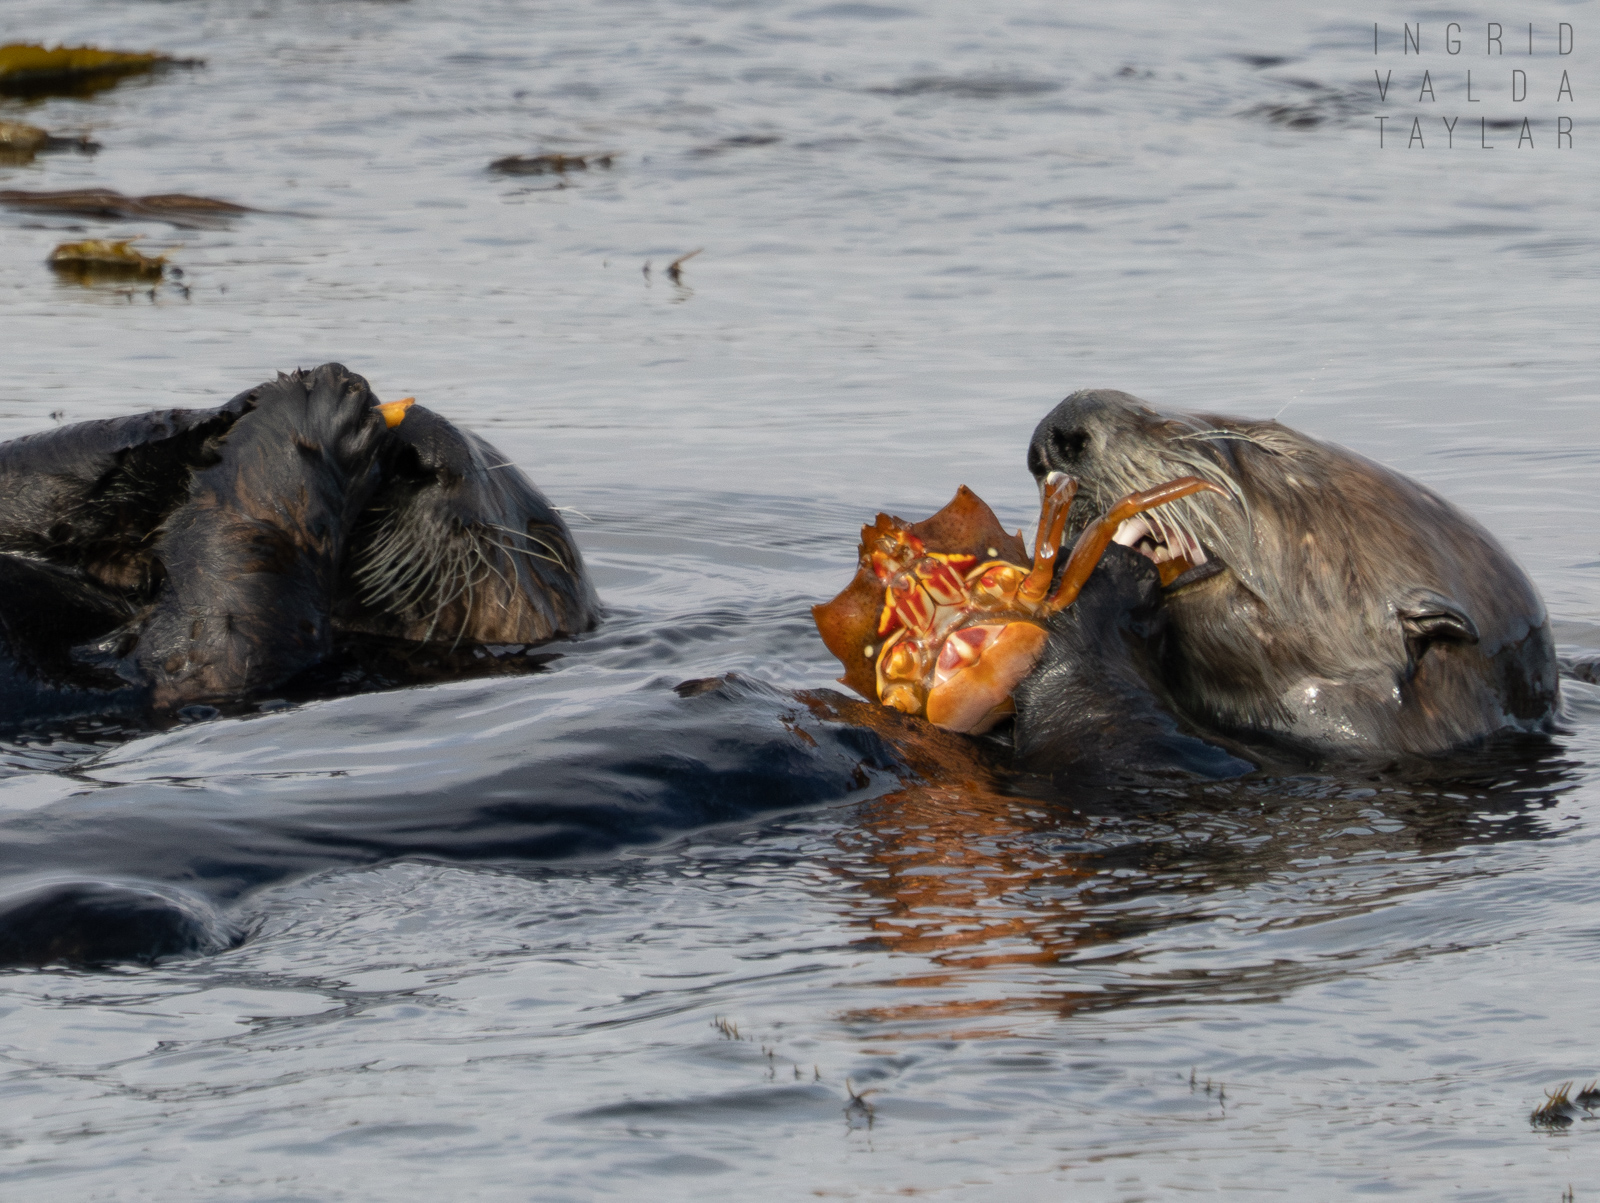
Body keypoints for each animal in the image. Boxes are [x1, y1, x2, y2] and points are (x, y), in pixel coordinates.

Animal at [0, 364, 598, 723]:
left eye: (550, 550)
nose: (421, 450)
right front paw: (236, 407)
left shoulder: (198, 682)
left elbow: (214, 651)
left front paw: (315, 411)